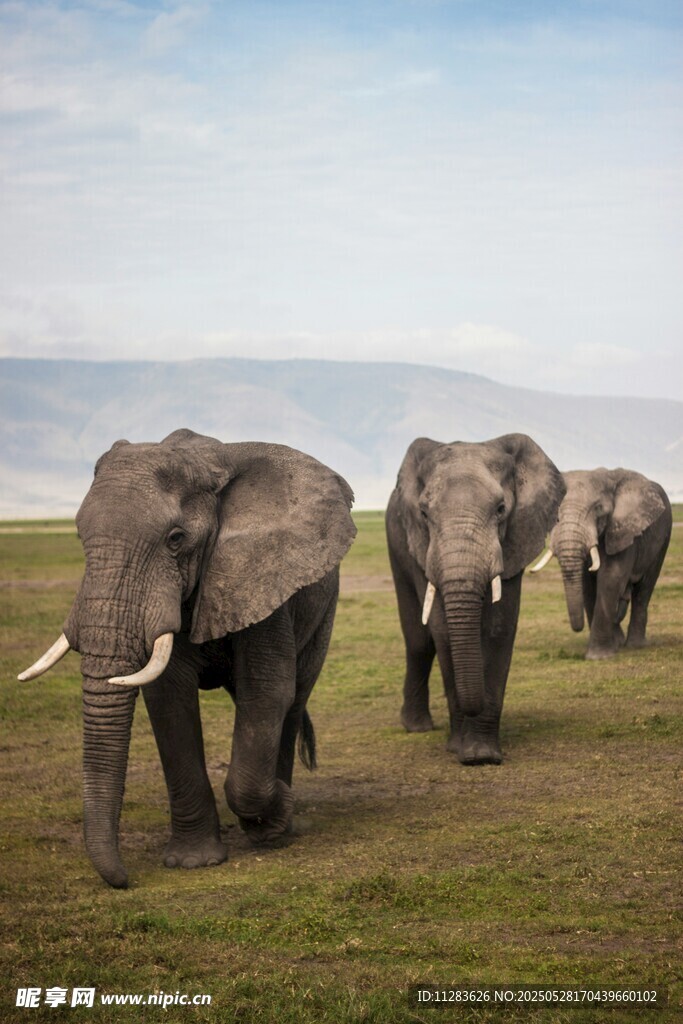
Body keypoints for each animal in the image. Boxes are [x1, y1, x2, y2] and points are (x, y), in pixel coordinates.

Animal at [19, 429, 356, 889]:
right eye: (78, 536)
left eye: (176, 539)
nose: (124, 879)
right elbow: (168, 699)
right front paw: (193, 862)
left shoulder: (261, 575)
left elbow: (267, 692)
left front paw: (276, 817)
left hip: (324, 609)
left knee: (294, 698)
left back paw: (280, 825)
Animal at [386, 433, 565, 765]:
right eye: (424, 514)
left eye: (501, 509)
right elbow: (442, 631)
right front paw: (461, 750)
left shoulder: (515, 539)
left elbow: (499, 628)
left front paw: (482, 755)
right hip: (396, 542)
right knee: (419, 641)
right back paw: (416, 727)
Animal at [530, 468, 672, 659]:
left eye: (598, 509)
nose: (578, 628)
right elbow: (587, 585)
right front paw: (611, 647)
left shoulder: (622, 530)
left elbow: (611, 577)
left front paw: (598, 657)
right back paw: (619, 641)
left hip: (664, 537)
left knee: (644, 589)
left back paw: (635, 645)